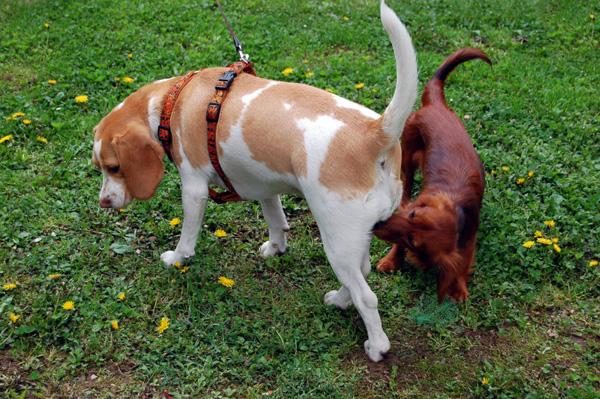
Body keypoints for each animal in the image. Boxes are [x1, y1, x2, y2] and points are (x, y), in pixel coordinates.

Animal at [92, 0, 418, 362]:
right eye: (100, 167)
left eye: (114, 167)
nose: (104, 202)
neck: (171, 100)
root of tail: (373, 133)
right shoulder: (265, 185)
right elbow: (275, 220)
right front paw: (276, 248)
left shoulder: (193, 188)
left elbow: (187, 236)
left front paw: (177, 259)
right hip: (354, 238)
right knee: (363, 272)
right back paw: (338, 300)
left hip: (337, 242)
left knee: (367, 297)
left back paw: (376, 346)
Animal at [372, 47, 490, 304]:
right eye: (413, 214)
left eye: (413, 241)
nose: (376, 223)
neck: (458, 209)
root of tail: (436, 105)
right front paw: (390, 261)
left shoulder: (469, 239)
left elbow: (462, 263)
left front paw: (458, 288)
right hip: (408, 154)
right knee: (406, 182)